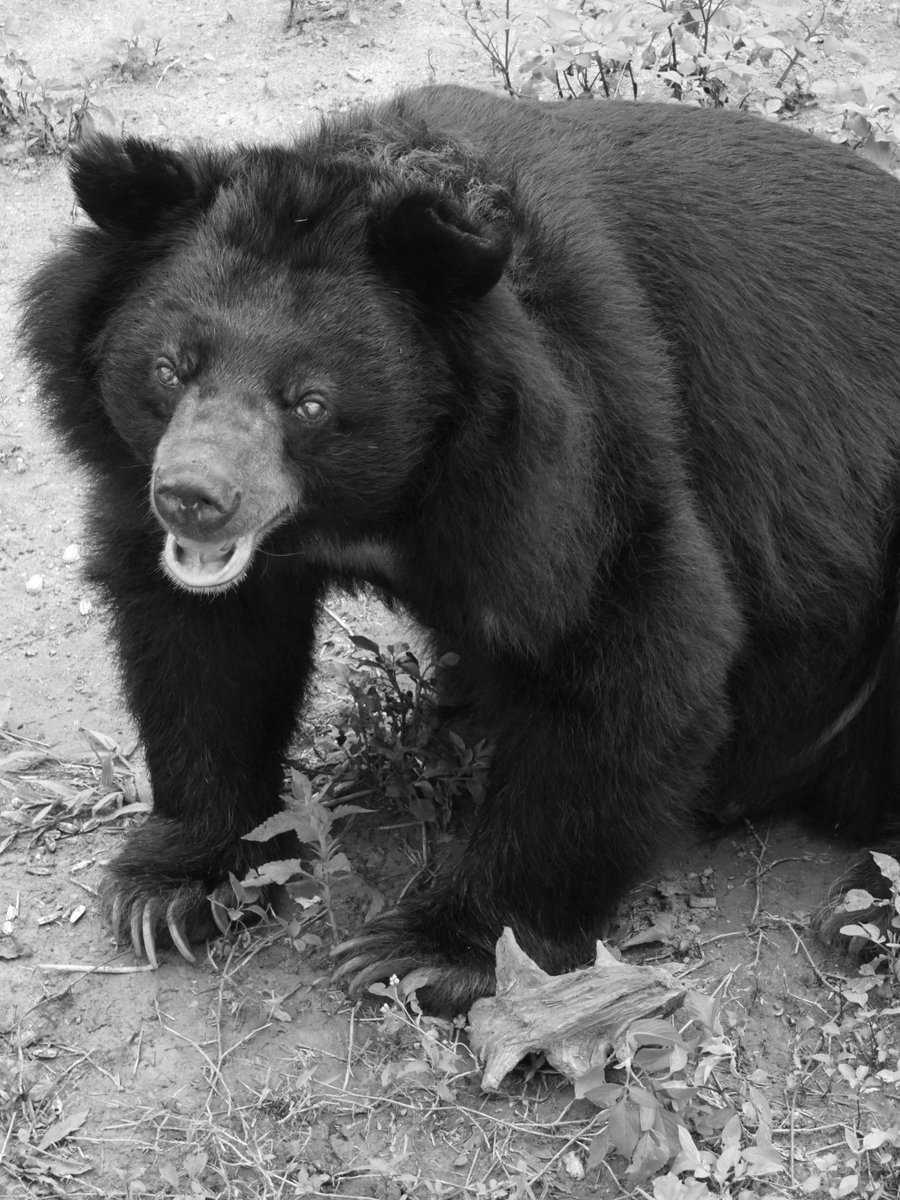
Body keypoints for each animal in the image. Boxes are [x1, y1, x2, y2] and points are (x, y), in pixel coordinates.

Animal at [19, 84, 900, 1015]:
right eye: (171, 368)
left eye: (310, 403)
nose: (193, 499)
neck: (383, 498)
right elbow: (205, 648)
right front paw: (173, 890)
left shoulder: (572, 452)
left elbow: (630, 646)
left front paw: (422, 951)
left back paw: (859, 909)